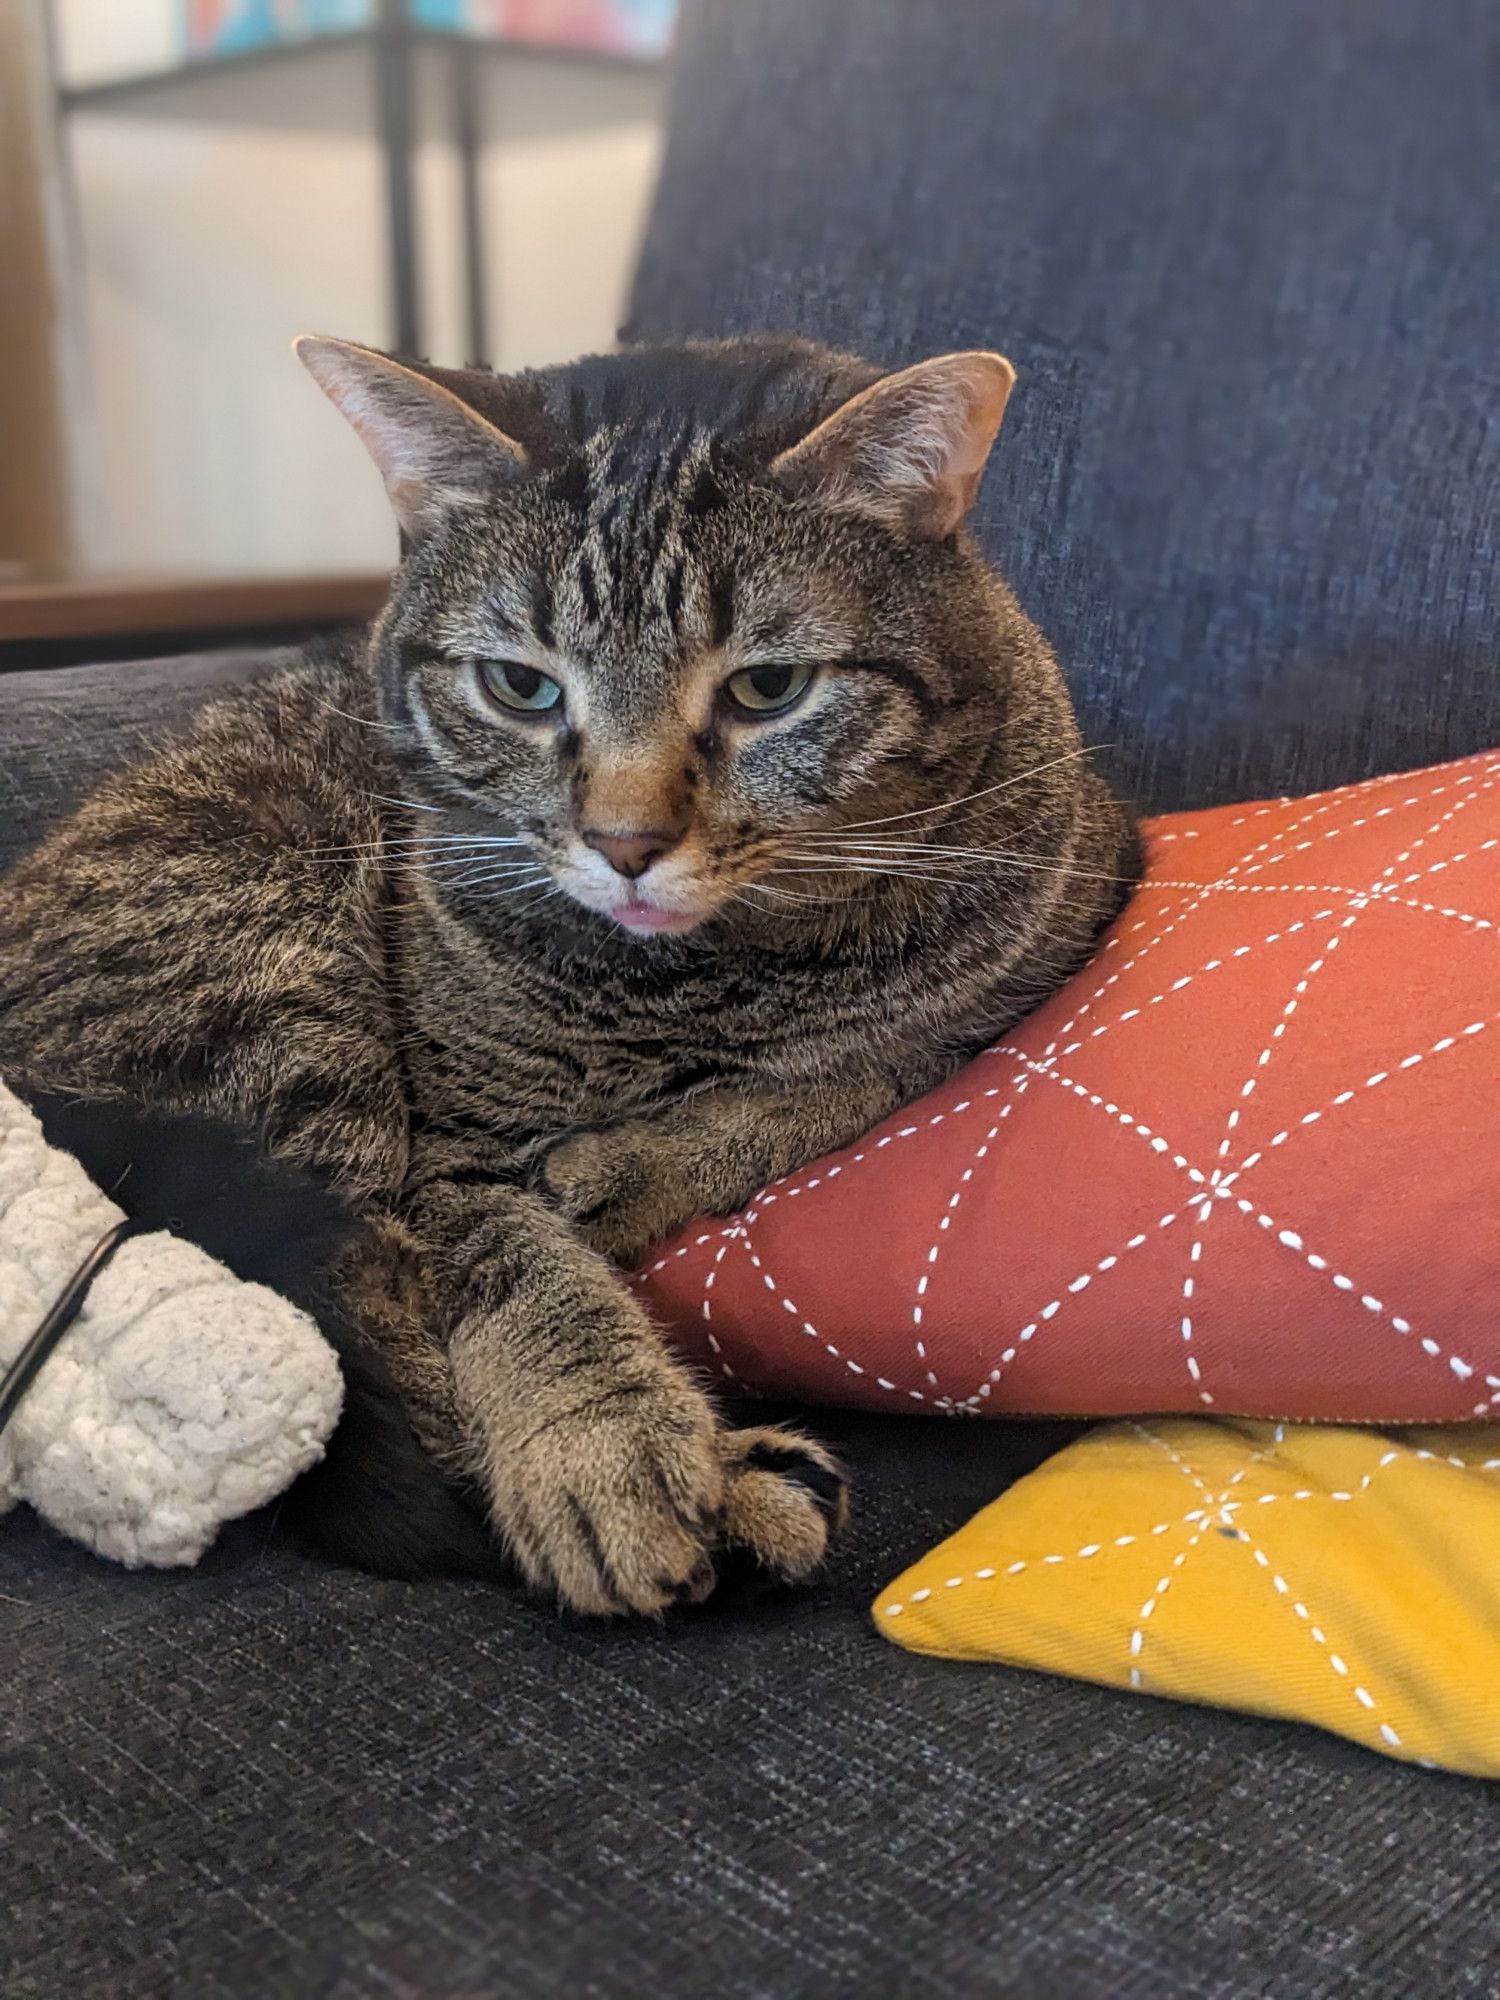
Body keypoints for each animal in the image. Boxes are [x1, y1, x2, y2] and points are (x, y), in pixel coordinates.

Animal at [0, 328, 1136, 1608]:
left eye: (768, 688)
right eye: (521, 686)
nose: (627, 842)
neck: (689, 983)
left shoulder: (1059, 917)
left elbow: (854, 1073)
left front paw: (631, 1164)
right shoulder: (447, 1157)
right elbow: (520, 1280)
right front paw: (606, 1443)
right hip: (275, 986)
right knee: (348, 1361)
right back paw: (739, 1477)